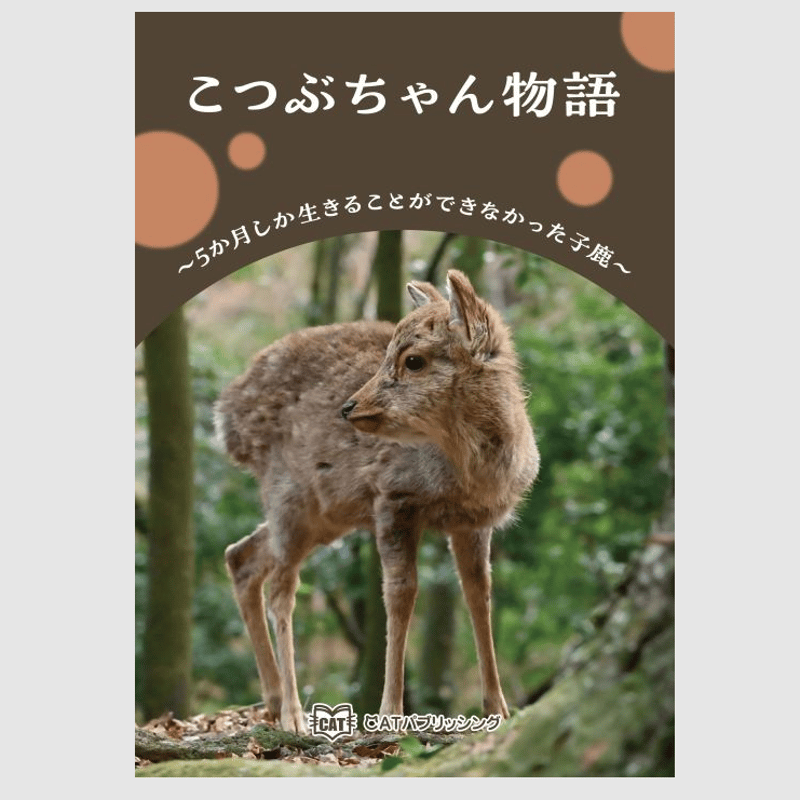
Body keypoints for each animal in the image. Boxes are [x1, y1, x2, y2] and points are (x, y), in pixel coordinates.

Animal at [215, 269, 539, 734]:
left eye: (414, 360)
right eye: (388, 353)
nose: (349, 407)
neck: (472, 473)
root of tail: (227, 419)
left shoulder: (474, 521)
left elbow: (479, 594)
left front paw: (498, 708)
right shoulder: (393, 497)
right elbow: (400, 594)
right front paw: (390, 714)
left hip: (323, 513)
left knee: (241, 556)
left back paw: (274, 701)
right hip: (287, 493)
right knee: (281, 588)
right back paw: (294, 714)